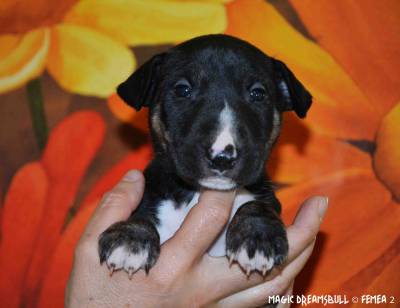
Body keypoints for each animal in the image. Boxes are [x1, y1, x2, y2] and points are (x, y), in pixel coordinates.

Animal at [98, 35, 310, 278]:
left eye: (258, 93)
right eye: (182, 89)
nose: (222, 156)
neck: (195, 194)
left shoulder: (265, 195)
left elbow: (258, 205)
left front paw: (258, 235)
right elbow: (141, 210)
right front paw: (131, 236)